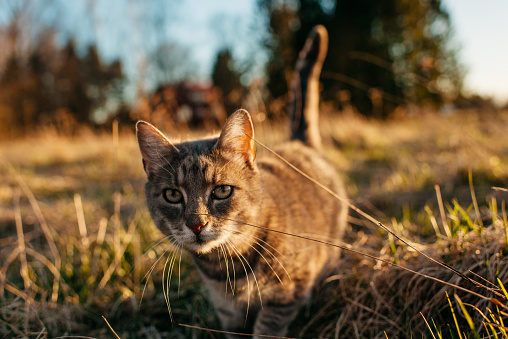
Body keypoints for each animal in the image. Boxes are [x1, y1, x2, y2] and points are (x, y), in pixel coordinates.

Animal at [137, 25, 348, 338]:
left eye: (222, 191)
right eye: (173, 195)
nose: (196, 224)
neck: (227, 269)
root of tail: (299, 142)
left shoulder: (287, 293)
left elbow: (268, 327)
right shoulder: (228, 312)